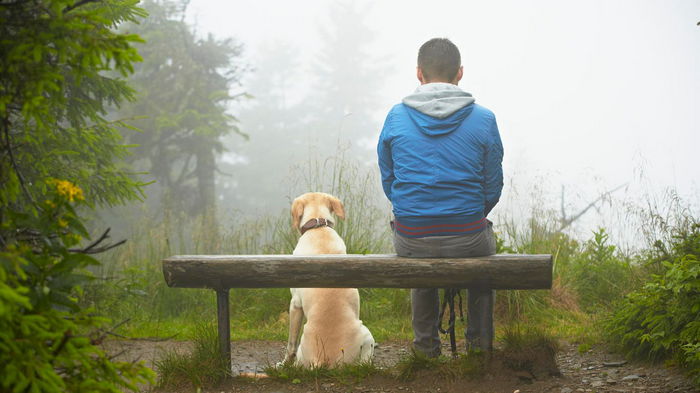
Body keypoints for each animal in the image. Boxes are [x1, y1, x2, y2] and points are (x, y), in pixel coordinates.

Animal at [284, 191, 374, 366]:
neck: (318, 228)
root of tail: (323, 361)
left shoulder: (295, 304)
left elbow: (291, 343)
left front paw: (283, 364)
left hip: (366, 333)